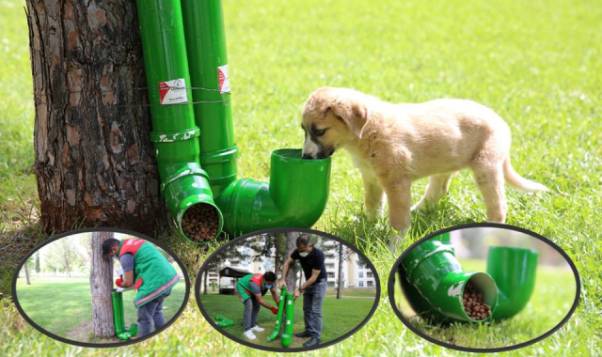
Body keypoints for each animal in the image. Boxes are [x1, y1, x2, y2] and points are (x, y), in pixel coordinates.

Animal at [302, 86, 548, 243]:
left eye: (320, 131)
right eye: (303, 129)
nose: (305, 157)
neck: (367, 131)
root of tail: (500, 120)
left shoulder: (396, 183)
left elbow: (398, 220)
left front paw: (393, 246)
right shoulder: (371, 178)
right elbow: (372, 205)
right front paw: (369, 226)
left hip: (486, 166)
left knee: (497, 204)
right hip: (445, 165)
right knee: (437, 191)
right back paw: (418, 211)